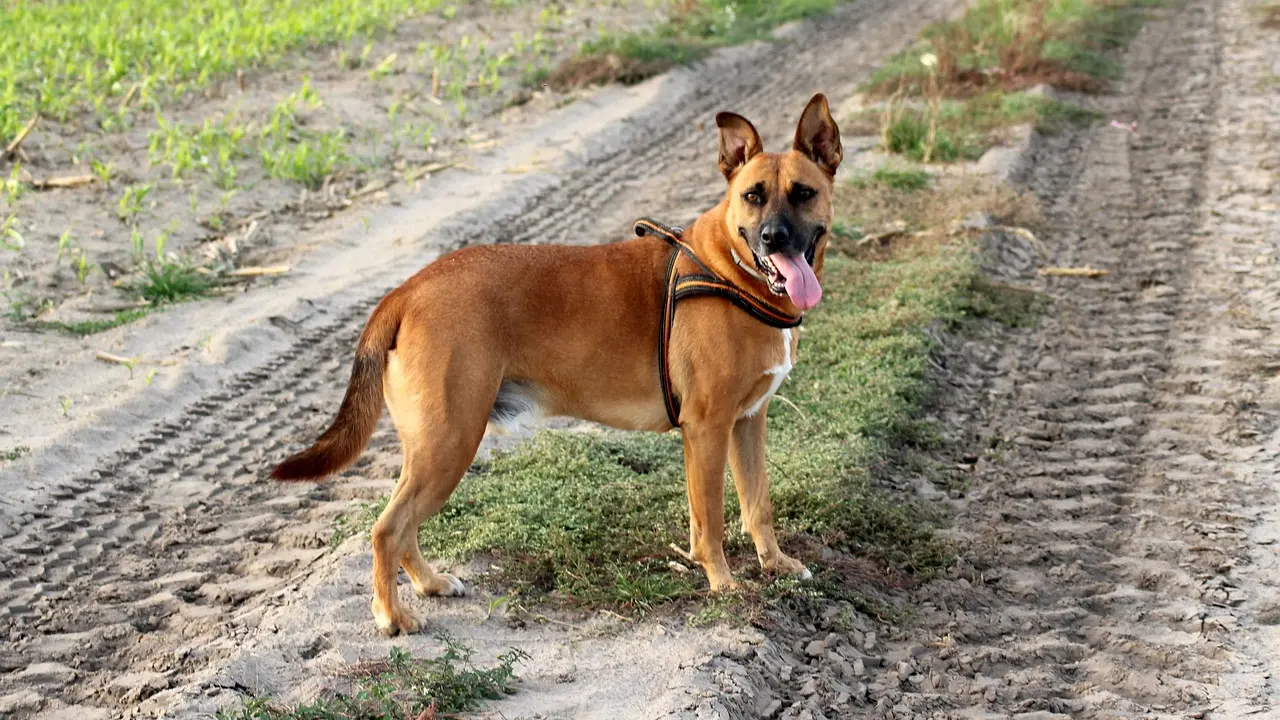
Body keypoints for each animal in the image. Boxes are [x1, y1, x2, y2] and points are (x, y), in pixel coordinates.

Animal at [272, 90, 839, 632]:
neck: (732, 271)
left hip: (437, 447)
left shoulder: (747, 422)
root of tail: (407, 290)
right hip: (448, 444)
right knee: (388, 528)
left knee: (404, 526)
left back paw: (430, 584)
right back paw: (392, 617)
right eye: (752, 196)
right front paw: (723, 584)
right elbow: (711, 521)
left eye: (804, 193)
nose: (772, 238)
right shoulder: (707, 429)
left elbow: (758, 504)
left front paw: (775, 564)